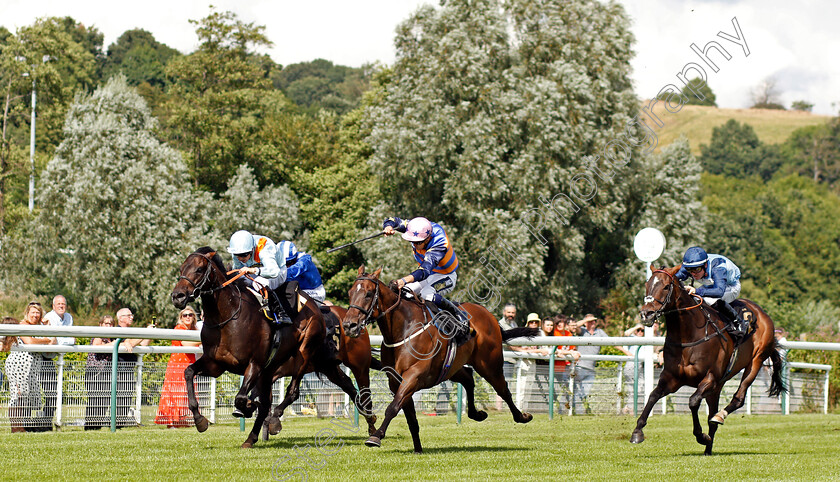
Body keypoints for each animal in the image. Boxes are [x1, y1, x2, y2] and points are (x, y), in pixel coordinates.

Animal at [170, 249, 324, 448]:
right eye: (181, 268)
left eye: (199, 269)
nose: (177, 296)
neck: (227, 317)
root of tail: (314, 304)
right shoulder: (215, 364)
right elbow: (188, 372)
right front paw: (199, 420)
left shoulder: (254, 364)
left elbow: (241, 398)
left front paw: (248, 407)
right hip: (269, 369)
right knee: (266, 403)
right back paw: (250, 438)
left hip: (303, 355)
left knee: (292, 392)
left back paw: (273, 420)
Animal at [342, 266, 536, 454]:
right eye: (350, 293)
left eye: (368, 293)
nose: (348, 325)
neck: (404, 328)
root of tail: (490, 317)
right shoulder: (396, 381)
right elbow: (410, 417)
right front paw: (418, 449)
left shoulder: (413, 376)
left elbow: (393, 407)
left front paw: (376, 436)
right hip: (451, 368)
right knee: (469, 378)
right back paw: (477, 414)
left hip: (489, 364)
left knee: (503, 389)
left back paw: (522, 416)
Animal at [632, 266, 784, 454]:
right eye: (647, 285)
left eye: (666, 286)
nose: (646, 314)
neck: (689, 335)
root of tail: (762, 313)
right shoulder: (672, 378)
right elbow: (653, 395)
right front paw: (637, 431)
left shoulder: (710, 378)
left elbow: (693, 401)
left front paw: (701, 436)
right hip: (717, 386)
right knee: (712, 414)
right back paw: (708, 449)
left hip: (756, 361)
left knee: (737, 399)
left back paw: (719, 418)